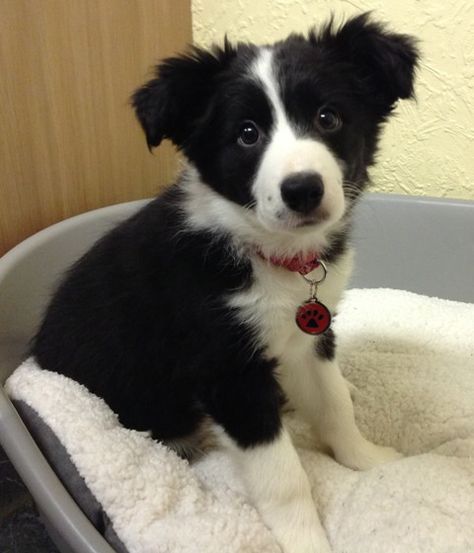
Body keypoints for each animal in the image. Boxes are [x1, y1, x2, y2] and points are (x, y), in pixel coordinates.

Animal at [33, 12, 418, 552]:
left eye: (328, 118)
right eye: (247, 134)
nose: (302, 190)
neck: (271, 255)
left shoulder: (309, 336)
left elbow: (334, 404)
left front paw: (368, 459)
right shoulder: (227, 368)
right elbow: (281, 473)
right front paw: (305, 540)